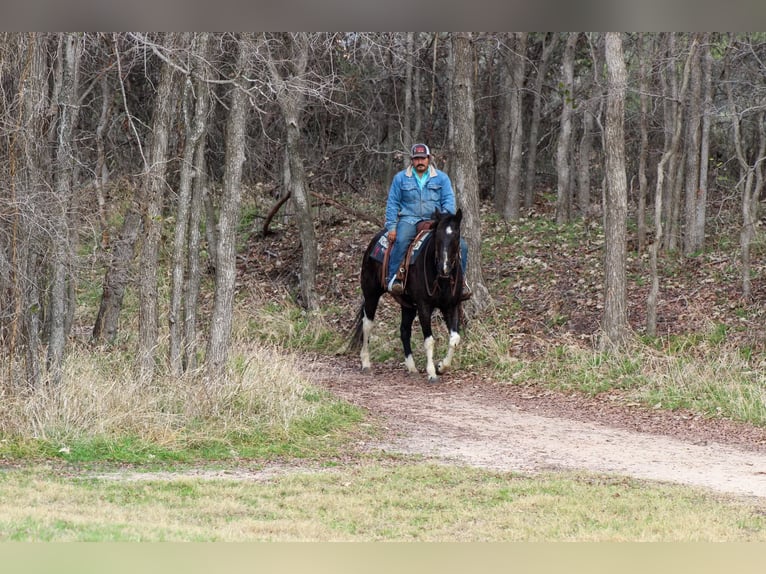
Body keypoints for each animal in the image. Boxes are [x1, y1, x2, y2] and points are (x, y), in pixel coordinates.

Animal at [350, 209, 468, 384]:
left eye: (456, 235)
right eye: (437, 236)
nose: (444, 267)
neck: (441, 278)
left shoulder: (451, 305)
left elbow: (454, 339)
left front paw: (441, 367)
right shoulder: (424, 306)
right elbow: (429, 341)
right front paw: (432, 373)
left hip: (407, 305)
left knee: (404, 331)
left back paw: (411, 367)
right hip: (371, 294)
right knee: (367, 324)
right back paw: (365, 363)